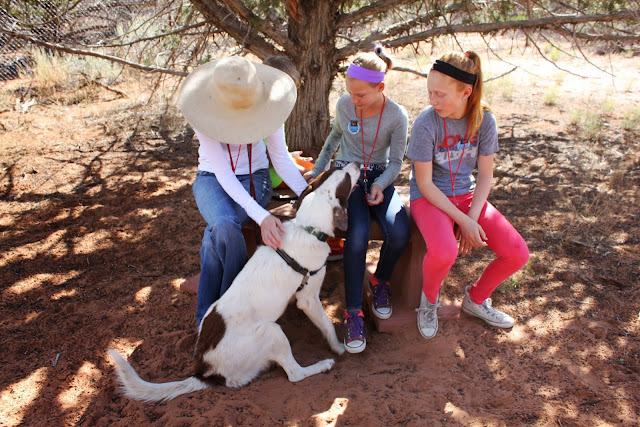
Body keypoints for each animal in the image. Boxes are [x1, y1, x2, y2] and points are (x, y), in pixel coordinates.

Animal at [109, 162, 360, 402]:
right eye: (346, 178)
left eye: (334, 170)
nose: (357, 165)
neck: (306, 228)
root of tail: (206, 371)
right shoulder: (308, 298)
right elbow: (327, 325)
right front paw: (338, 348)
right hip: (271, 330)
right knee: (294, 374)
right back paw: (322, 365)